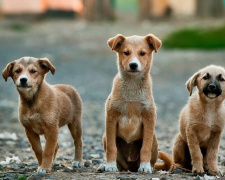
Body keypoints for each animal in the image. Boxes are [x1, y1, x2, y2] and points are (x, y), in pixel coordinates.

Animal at [102, 33, 172, 173]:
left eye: (142, 53)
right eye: (126, 52)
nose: (133, 65)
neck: (132, 87)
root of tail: (130, 167)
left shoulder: (149, 118)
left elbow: (145, 148)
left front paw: (145, 166)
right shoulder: (111, 118)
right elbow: (112, 148)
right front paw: (110, 165)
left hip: (154, 139)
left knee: (152, 159)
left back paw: (148, 166)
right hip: (105, 137)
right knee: (119, 162)